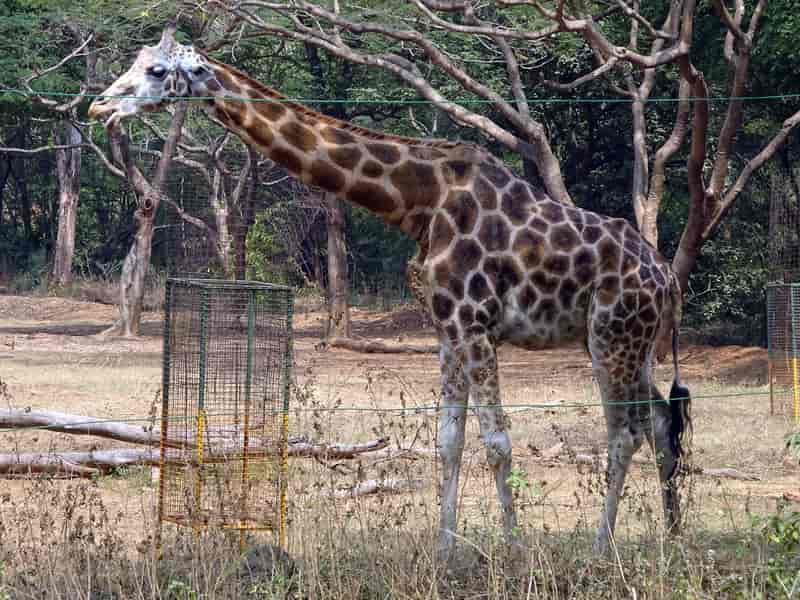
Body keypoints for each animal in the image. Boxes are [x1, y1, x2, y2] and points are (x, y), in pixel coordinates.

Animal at [90, 25, 692, 556]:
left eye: (157, 70)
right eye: (139, 60)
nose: (98, 105)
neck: (417, 203)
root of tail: (666, 279)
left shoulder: (476, 323)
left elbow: (497, 442)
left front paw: (517, 552)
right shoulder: (449, 329)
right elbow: (448, 441)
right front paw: (446, 554)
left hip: (612, 337)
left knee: (625, 433)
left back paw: (601, 549)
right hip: (628, 343)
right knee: (662, 423)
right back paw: (671, 540)